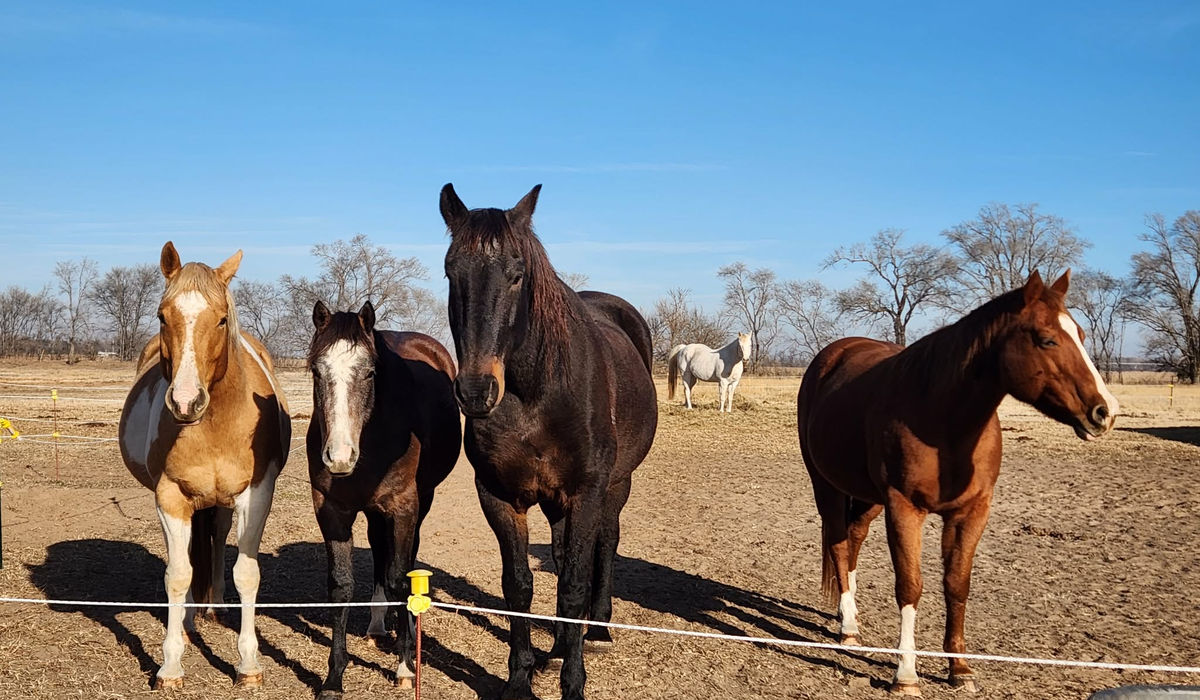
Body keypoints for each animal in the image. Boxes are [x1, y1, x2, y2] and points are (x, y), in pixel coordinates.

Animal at [118, 242, 290, 689]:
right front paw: (170, 666)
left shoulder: (256, 495)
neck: (215, 423)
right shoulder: (171, 497)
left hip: (223, 503)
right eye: (163, 315)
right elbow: (177, 575)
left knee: (216, 540)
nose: (185, 402)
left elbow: (247, 573)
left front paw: (249, 664)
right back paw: (190, 621)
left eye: (222, 318)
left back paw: (215, 607)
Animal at [305, 300, 461, 700]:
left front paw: (405, 665)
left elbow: (400, 578)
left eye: (370, 373)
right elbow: (341, 585)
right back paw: (378, 622)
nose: (339, 457)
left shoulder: (404, 507)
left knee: (402, 560)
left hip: (421, 500)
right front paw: (333, 678)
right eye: (316, 370)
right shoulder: (332, 510)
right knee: (378, 550)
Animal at [440, 183, 658, 700]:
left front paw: (573, 683)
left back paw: (598, 630)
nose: (476, 392)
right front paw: (520, 679)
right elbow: (519, 587)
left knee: (605, 545)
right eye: (451, 271)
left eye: (517, 275)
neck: (535, 396)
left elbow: (575, 585)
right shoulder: (500, 496)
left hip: (616, 486)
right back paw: (558, 643)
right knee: (558, 560)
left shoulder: (586, 493)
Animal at [796, 270, 1118, 696]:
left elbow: (957, 585)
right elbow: (910, 586)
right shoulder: (904, 508)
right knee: (837, 541)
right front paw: (906, 675)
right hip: (827, 486)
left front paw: (959, 668)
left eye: (1080, 334)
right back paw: (848, 626)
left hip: (867, 497)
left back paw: (846, 613)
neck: (943, 420)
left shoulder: (971, 512)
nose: (1106, 411)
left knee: (854, 538)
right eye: (1047, 339)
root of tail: (833, 354)